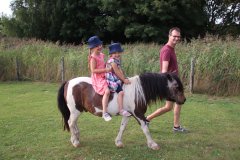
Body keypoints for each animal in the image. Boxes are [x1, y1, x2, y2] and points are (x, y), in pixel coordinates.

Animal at [57, 72, 187, 150]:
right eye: (176, 86)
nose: (184, 100)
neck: (138, 91)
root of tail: (68, 82)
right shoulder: (139, 114)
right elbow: (145, 129)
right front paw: (153, 144)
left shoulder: (128, 115)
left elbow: (122, 128)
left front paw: (118, 142)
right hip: (75, 111)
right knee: (71, 123)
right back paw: (75, 141)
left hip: (76, 111)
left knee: (73, 124)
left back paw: (76, 138)